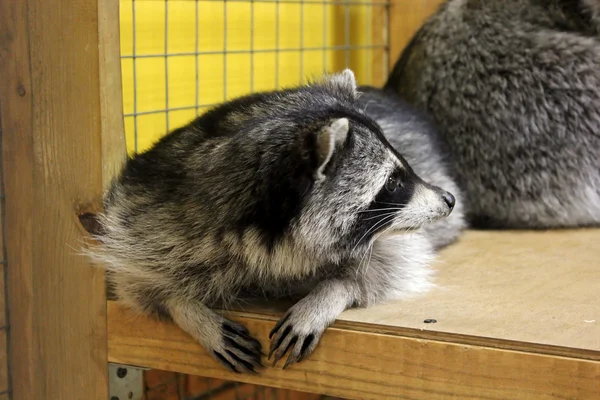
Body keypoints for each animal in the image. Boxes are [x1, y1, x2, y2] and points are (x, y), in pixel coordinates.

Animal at [86, 70, 458, 374]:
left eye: (402, 171)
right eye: (393, 182)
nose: (448, 200)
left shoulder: (384, 236)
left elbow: (391, 262)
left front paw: (332, 291)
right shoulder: (149, 216)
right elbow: (134, 280)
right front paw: (185, 308)